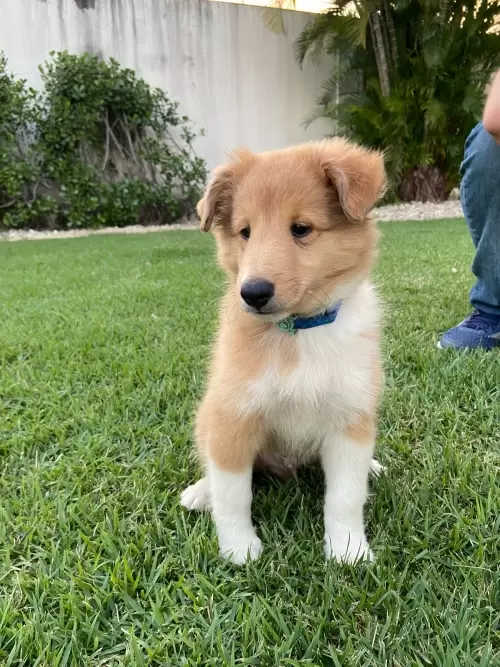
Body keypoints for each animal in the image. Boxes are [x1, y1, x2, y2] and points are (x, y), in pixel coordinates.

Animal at [182, 140, 384, 564]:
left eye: (301, 228)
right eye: (245, 232)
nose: (253, 292)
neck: (298, 332)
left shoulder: (349, 418)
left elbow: (345, 497)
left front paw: (349, 550)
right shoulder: (233, 418)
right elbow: (233, 495)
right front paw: (239, 549)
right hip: (206, 416)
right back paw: (200, 493)